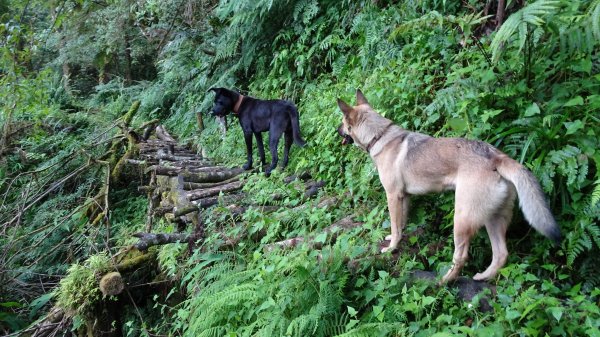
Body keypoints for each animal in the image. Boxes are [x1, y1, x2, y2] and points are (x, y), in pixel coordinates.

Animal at [336, 89, 560, 280]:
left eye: (342, 122)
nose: (337, 131)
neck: (380, 135)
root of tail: (496, 156)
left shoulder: (393, 195)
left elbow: (395, 224)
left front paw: (391, 248)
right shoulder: (404, 197)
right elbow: (400, 225)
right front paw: (394, 239)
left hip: (461, 220)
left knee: (461, 256)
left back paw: (444, 282)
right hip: (492, 219)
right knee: (501, 254)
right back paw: (483, 278)